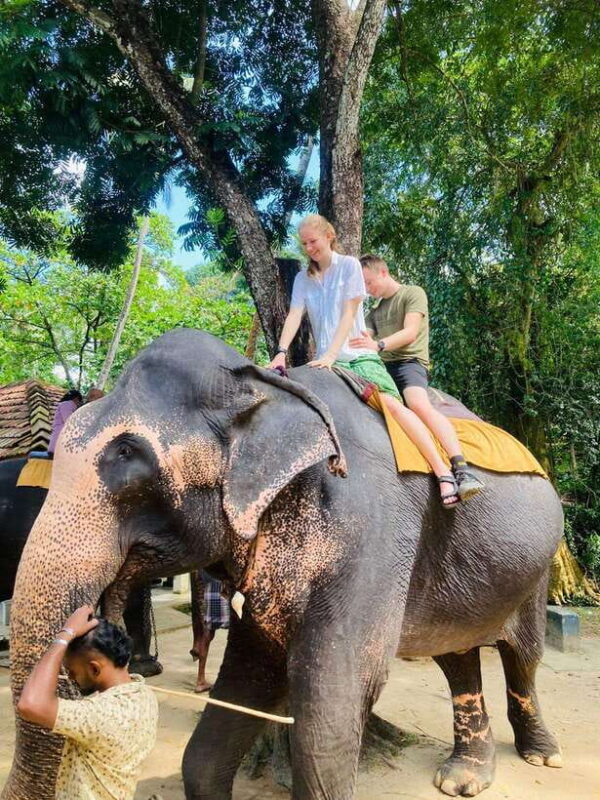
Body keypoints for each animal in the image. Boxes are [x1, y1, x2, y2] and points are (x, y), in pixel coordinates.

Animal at [4, 328, 563, 800]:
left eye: (127, 454)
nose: (92, 619)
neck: (262, 383)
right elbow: (250, 672)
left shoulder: (367, 523)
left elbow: (335, 692)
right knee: (457, 656)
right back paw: (464, 777)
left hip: (538, 568)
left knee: (523, 656)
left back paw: (542, 756)